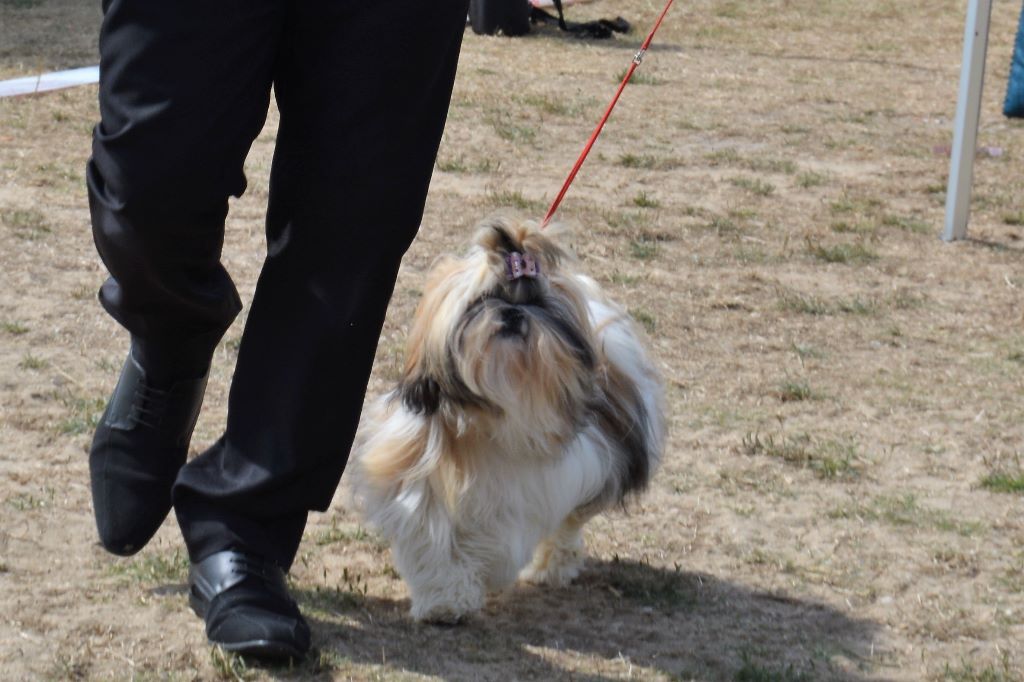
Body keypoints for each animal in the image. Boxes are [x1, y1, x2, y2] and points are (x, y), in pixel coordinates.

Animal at [350, 218, 663, 622]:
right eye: (484, 299)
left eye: (536, 303)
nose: (514, 314)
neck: (494, 413)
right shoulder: (418, 482)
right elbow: (432, 544)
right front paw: (444, 600)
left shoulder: (530, 493)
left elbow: (493, 540)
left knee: (566, 527)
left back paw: (551, 567)